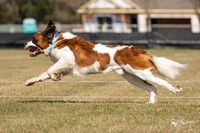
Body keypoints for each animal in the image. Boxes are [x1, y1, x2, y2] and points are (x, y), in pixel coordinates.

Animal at [24, 20, 186, 104]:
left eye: (33, 40)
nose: (25, 44)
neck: (55, 41)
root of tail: (140, 50)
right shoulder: (66, 67)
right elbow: (43, 74)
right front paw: (31, 81)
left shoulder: (67, 61)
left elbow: (50, 70)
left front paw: (54, 77)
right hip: (131, 77)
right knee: (152, 87)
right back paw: (151, 103)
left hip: (141, 72)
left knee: (162, 83)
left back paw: (175, 90)